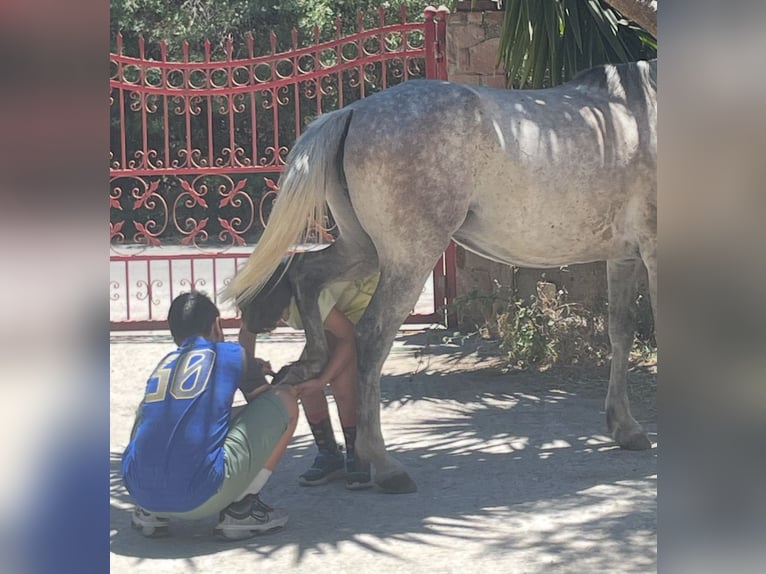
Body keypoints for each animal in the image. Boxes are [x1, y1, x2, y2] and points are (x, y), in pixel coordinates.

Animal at [222, 59, 657, 494]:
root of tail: (352, 111)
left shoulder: (623, 258)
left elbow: (621, 332)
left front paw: (626, 428)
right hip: (409, 259)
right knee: (371, 336)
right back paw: (385, 465)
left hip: (363, 250)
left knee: (304, 275)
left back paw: (307, 366)